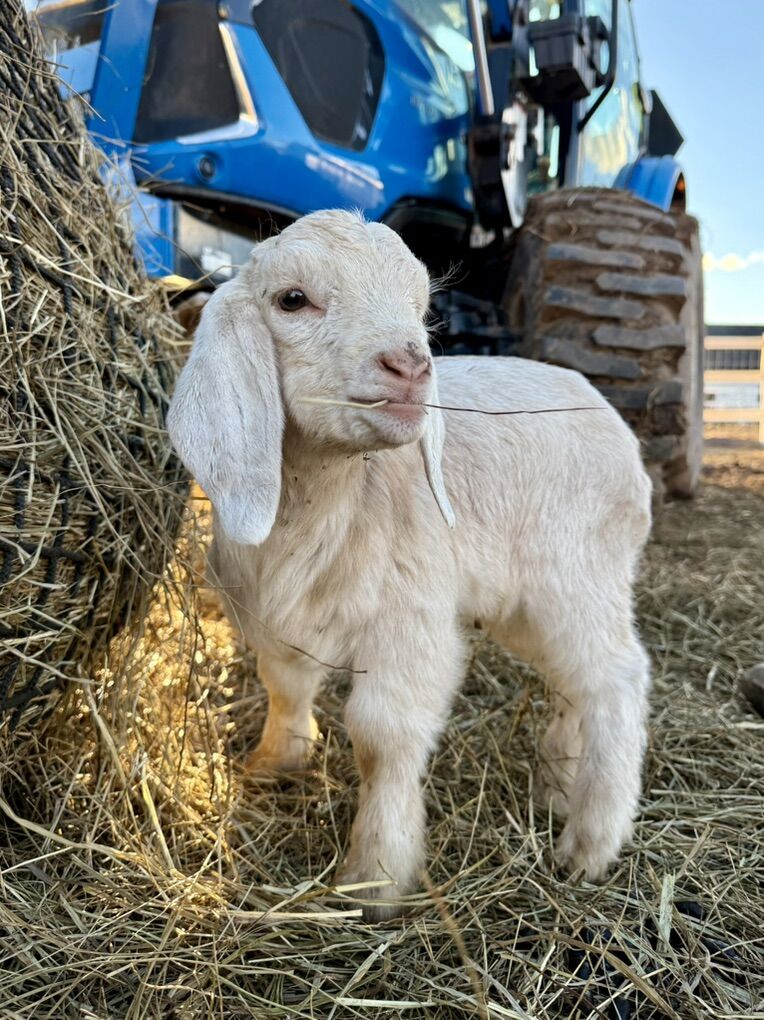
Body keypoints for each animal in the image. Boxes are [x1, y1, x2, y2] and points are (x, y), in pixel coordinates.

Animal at [168, 209, 652, 919]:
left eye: (421, 308)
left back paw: (591, 841)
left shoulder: (410, 622)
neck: (329, 505)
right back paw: (558, 786)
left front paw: (374, 879)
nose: (411, 366)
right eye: (292, 299)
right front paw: (275, 763)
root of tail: (618, 428)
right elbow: (284, 684)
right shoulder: (274, 619)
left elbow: (382, 737)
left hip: (579, 573)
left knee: (616, 677)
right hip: (525, 602)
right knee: (573, 682)